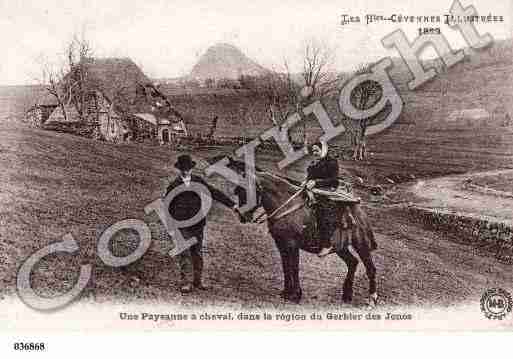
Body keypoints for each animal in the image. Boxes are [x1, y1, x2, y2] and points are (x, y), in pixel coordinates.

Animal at [226, 158, 378, 306]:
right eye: (238, 191)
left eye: (248, 192)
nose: (241, 215)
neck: (285, 206)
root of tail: (359, 212)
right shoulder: (281, 244)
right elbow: (286, 267)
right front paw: (286, 292)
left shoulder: (292, 245)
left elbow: (294, 268)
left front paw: (296, 295)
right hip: (341, 247)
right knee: (353, 263)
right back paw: (347, 294)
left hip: (361, 245)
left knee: (370, 268)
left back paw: (372, 298)